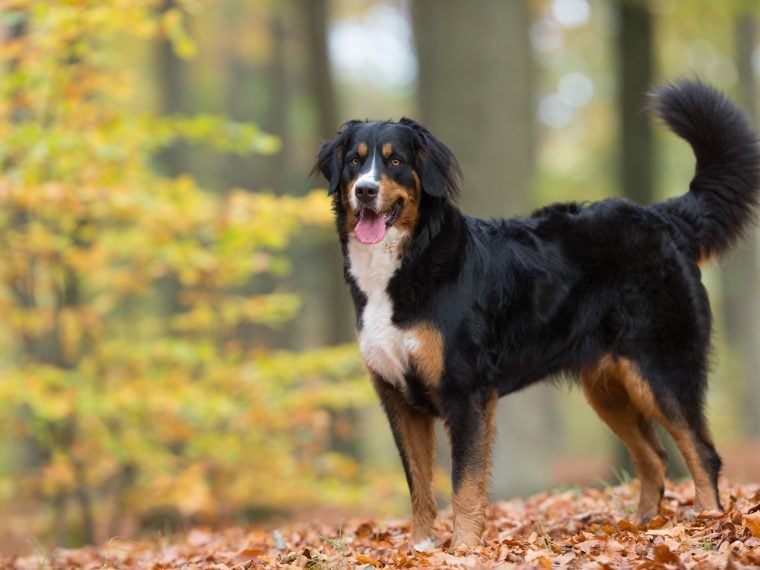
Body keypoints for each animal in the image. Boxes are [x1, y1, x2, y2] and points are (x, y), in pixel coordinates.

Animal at [310, 80, 760, 544]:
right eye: (354, 161)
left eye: (395, 161)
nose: (365, 190)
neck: (408, 260)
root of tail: (662, 216)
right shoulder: (399, 399)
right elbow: (419, 484)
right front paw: (422, 545)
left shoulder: (465, 390)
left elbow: (464, 483)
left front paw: (462, 547)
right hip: (609, 389)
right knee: (654, 456)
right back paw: (641, 527)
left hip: (659, 370)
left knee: (702, 453)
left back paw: (705, 524)